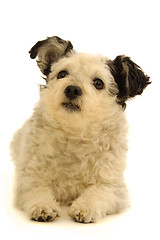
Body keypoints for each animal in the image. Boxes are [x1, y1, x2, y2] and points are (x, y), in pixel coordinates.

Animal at [9, 36, 150, 223]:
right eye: (62, 74)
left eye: (98, 83)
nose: (72, 89)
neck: (74, 133)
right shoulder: (29, 180)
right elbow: (37, 191)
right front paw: (43, 206)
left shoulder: (115, 188)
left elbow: (98, 192)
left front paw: (85, 207)